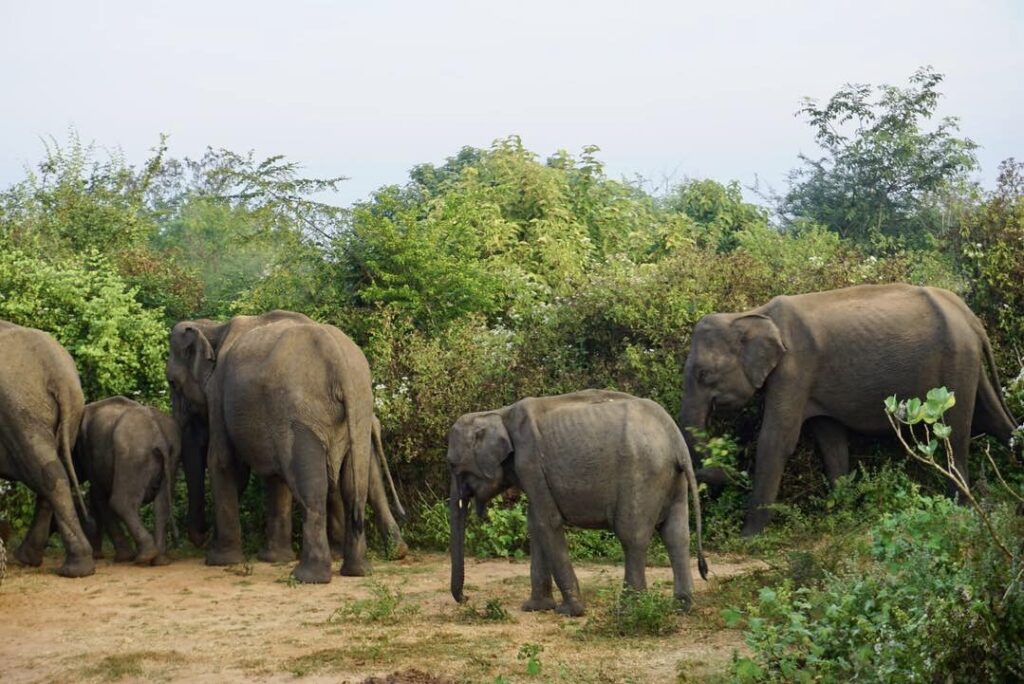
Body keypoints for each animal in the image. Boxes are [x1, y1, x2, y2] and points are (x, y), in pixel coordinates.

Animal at [0, 321, 94, 577]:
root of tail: (58, 372)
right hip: (70, 411)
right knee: (50, 469)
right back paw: (28, 558)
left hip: (20, 411)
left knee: (47, 473)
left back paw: (73, 570)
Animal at [73, 396, 180, 566]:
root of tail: (159, 437)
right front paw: (98, 555)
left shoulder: (88, 454)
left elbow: (97, 495)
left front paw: (121, 558)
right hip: (172, 455)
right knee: (162, 505)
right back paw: (160, 560)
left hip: (132, 455)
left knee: (120, 502)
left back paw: (144, 557)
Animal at [167, 312, 376, 582]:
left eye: (172, 383)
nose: (201, 536)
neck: (213, 327)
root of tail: (337, 357)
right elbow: (275, 478)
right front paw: (274, 559)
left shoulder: (218, 393)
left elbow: (223, 462)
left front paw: (219, 561)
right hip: (359, 410)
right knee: (353, 485)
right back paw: (358, 571)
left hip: (301, 413)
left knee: (311, 487)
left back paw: (308, 577)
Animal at [448, 389, 707, 617]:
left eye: (453, 466)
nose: (466, 599)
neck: (498, 413)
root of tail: (676, 440)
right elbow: (535, 524)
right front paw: (535, 608)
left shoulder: (529, 461)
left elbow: (547, 522)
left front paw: (570, 612)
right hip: (673, 479)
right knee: (676, 534)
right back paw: (681, 607)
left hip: (642, 474)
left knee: (632, 537)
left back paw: (629, 610)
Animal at [677, 283, 1020, 536]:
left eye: (704, 375)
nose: (728, 467)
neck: (753, 314)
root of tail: (971, 318)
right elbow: (830, 440)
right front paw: (840, 513)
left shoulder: (795, 369)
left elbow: (777, 440)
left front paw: (749, 537)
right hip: (967, 360)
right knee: (995, 420)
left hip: (956, 360)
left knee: (955, 429)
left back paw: (959, 507)